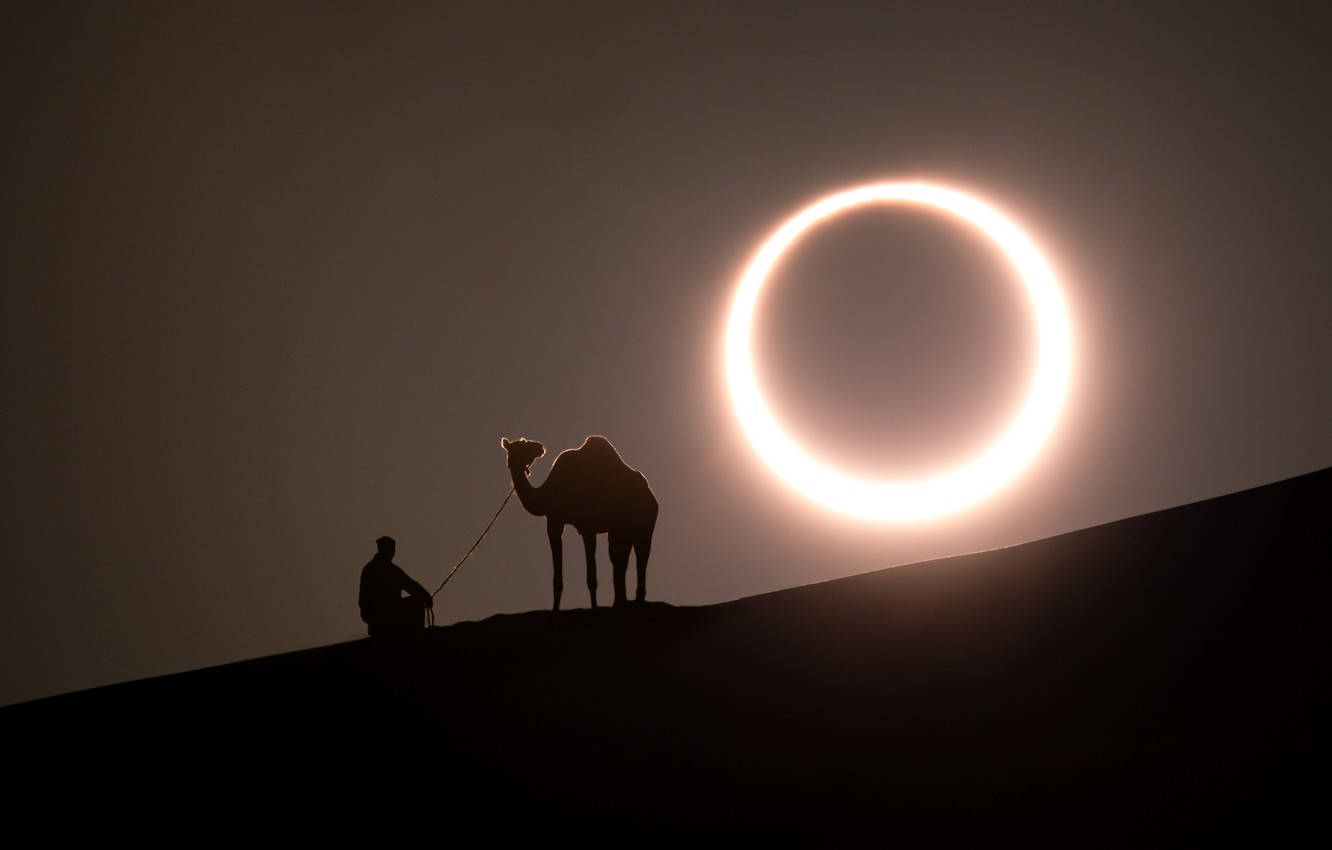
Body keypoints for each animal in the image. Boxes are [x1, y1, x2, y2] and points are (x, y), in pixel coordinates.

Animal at [500, 436, 658, 610]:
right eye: (523, 443)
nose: (540, 447)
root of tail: (650, 494)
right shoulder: (555, 521)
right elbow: (558, 579)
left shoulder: (587, 527)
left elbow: (591, 577)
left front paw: (594, 607)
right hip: (622, 529)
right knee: (619, 557)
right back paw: (622, 601)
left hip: (645, 525)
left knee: (641, 556)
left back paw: (636, 599)